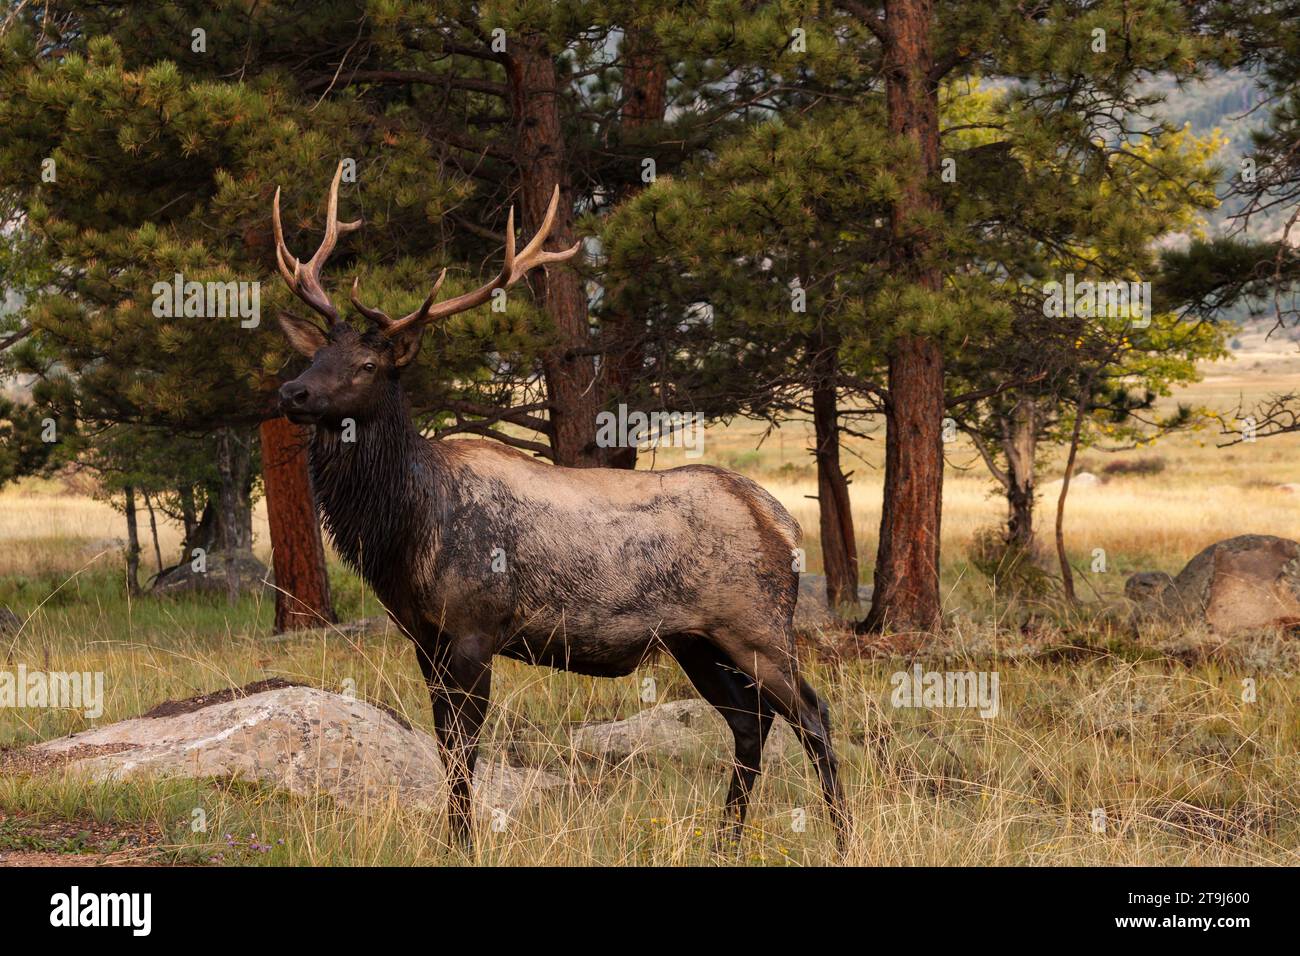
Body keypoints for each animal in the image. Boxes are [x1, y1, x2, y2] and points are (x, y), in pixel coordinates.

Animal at [269, 164, 847, 853]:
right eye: (314, 355)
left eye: (366, 364)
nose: (292, 391)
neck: (408, 528)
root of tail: (781, 521)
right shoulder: (424, 636)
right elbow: (443, 748)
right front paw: (453, 841)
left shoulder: (475, 626)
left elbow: (463, 751)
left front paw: (466, 845)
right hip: (695, 639)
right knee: (749, 723)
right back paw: (724, 841)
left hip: (757, 625)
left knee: (812, 714)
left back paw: (841, 839)